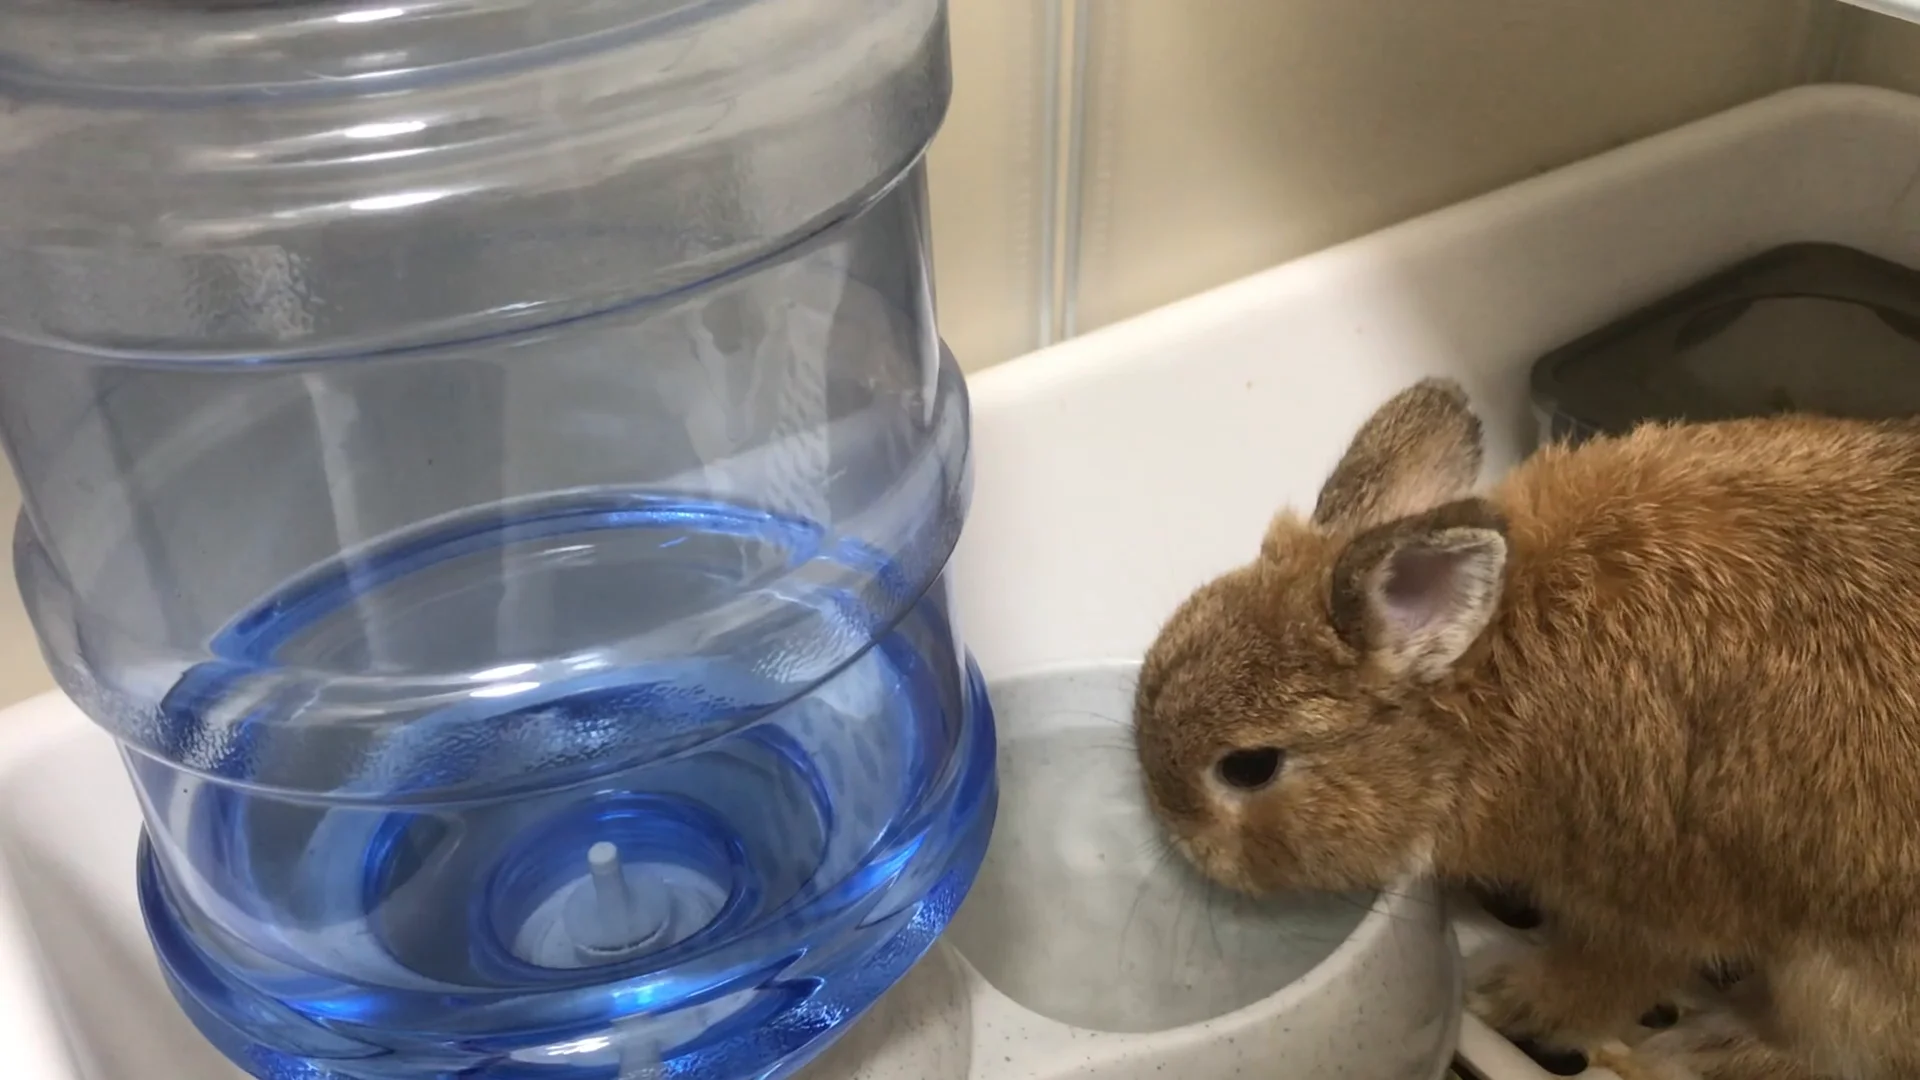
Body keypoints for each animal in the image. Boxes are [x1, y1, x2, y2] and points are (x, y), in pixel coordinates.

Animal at [1130, 377, 1920, 1080]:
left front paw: (1513, 1000)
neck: (1479, 698)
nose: (1175, 835)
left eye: (1248, 767)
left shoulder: (1644, 892)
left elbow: (1613, 975)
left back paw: (1707, 1049)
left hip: (1837, 985)